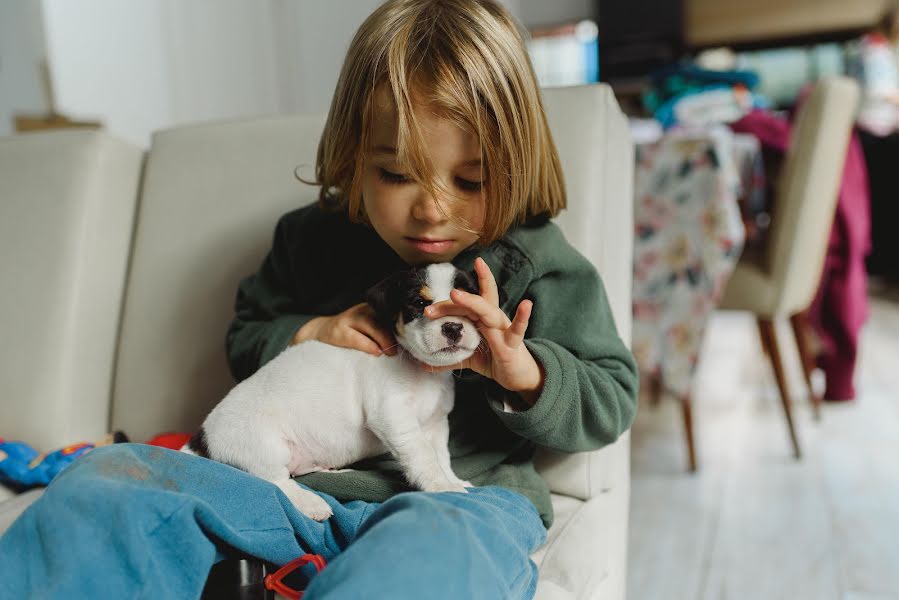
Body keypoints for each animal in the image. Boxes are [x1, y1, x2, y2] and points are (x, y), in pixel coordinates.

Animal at [179, 262, 482, 520]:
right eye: (420, 304)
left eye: (469, 306)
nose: (453, 327)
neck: (422, 372)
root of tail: (202, 438)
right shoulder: (394, 417)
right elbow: (424, 456)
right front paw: (442, 486)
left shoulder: (436, 424)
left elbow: (441, 456)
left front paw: (451, 478)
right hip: (265, 446)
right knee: (276, 482)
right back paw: (310, 503)